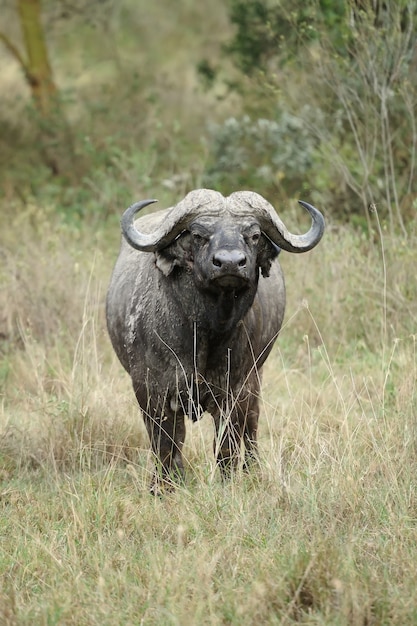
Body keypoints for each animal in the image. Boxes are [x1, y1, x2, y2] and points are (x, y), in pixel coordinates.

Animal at [105, 188, 324, 490]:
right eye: (198, 235)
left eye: (254, 235)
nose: (230, 263)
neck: (204, 333)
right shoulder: (150, 389)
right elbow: (166, 442)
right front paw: (163, 486)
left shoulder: (233, 389)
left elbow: (226, 444)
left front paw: (227, 483)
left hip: (256, 378)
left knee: (252, 425)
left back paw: (252, 469)